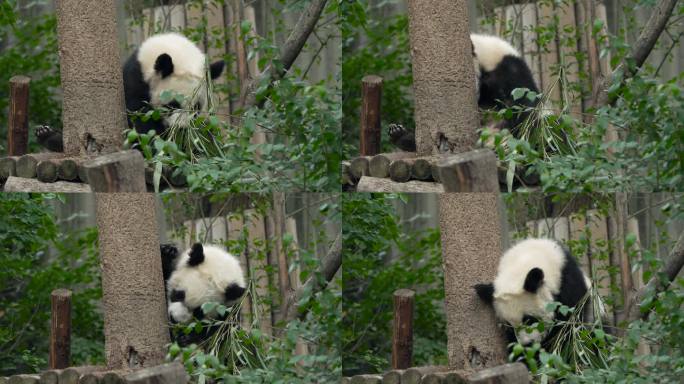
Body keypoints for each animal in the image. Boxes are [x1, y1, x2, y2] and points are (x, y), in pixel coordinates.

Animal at [36, 31, 224, 152]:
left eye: (196, 108)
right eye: (172, 104)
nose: (181, 128)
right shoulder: (136, 79)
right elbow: (140, 119)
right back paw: (47, 134)